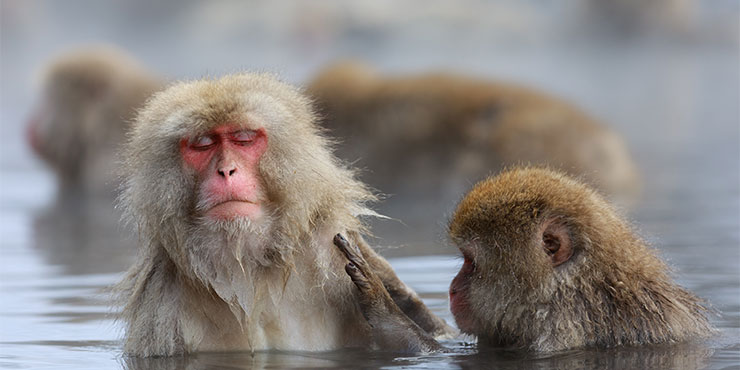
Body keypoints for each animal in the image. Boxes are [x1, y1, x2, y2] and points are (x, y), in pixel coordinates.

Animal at [113, 71, 454, 356]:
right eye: (203, 144)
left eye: (244, 138)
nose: (227, 170)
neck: (251, 272)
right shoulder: (160, 311)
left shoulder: (330, 247)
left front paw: (382, 302)